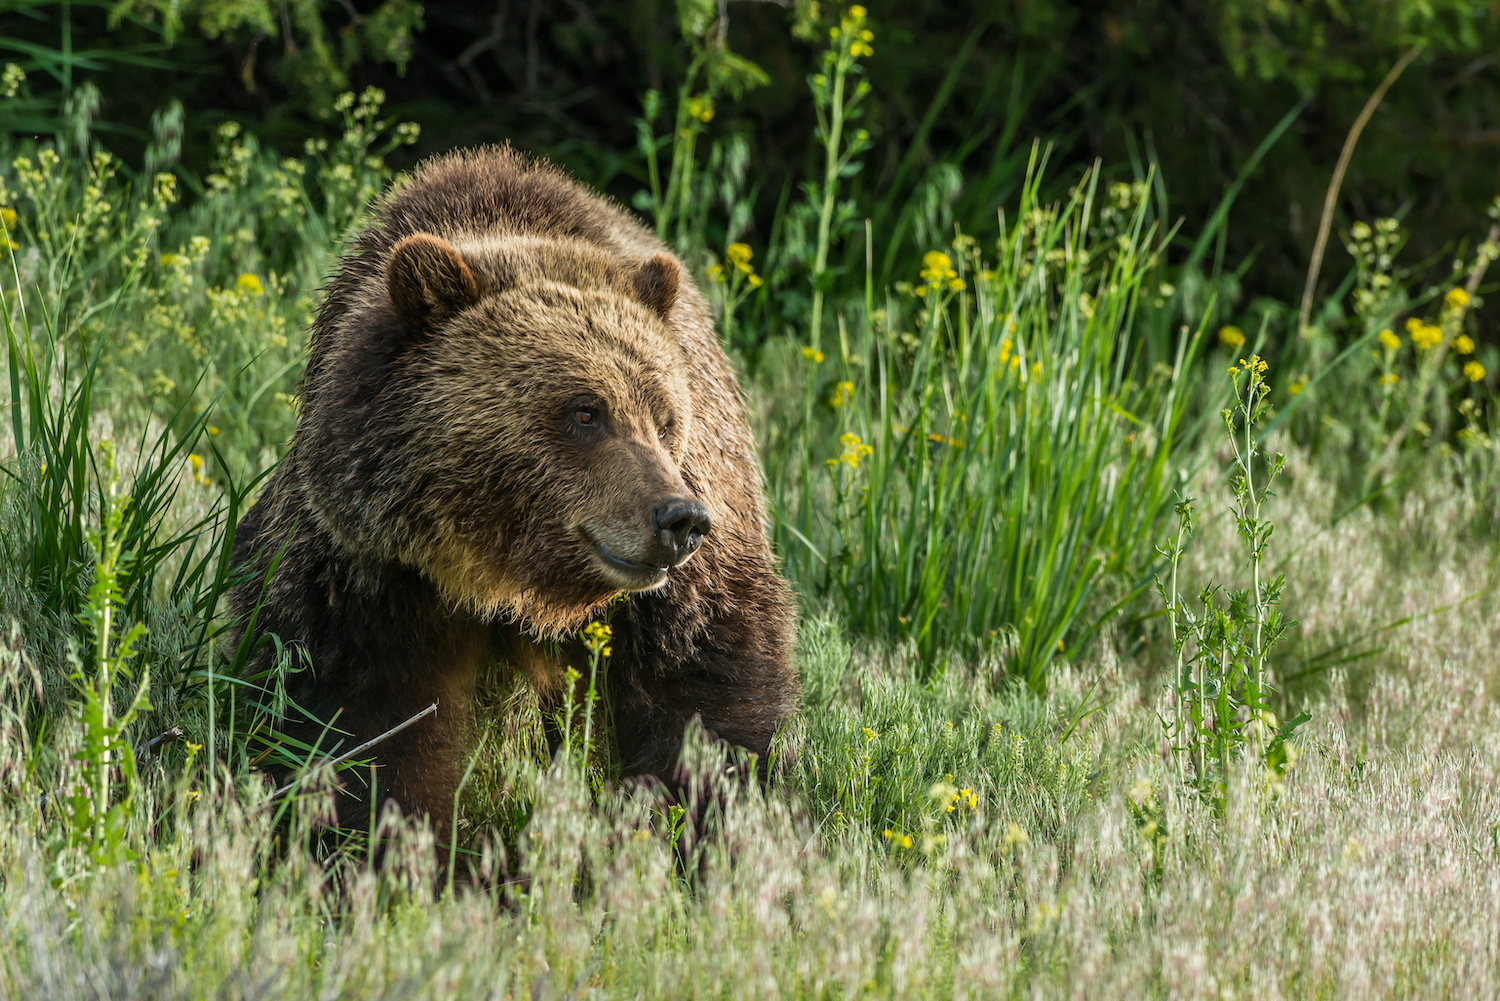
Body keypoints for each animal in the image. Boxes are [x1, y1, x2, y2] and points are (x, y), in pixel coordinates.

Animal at [228, 146, 798, 839]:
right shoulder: (367, 568)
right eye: (585, 412)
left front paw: (691, 821)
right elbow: (358, 722)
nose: (679, 519)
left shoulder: (683, 588)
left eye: (666, 420)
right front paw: (382, 835)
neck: (503, 577)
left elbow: (702, 697)